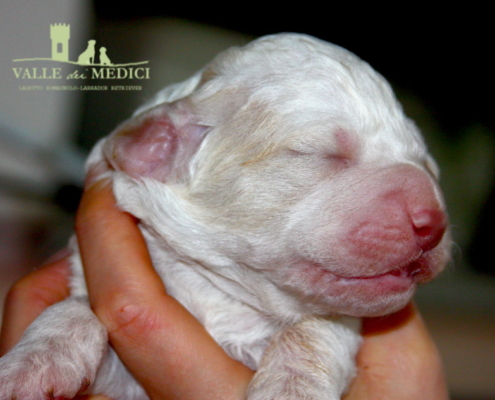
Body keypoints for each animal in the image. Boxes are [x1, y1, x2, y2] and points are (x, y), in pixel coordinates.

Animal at [0, 33, 452, 400]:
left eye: (427, 164)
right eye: (318, 152)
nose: (433, 222)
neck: (225, 296)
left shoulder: (334, 323)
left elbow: (313, 329)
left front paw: (291, 388)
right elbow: (76, 308)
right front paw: (30, 365)